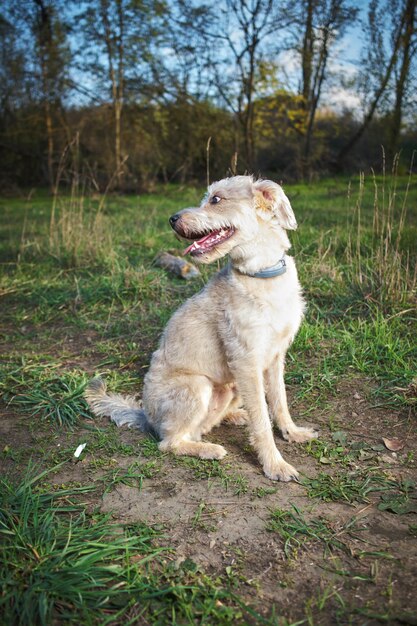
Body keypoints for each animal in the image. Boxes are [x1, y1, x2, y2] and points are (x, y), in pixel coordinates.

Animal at [86, 174, 316, 478]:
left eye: (216, 199)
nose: (172, 219)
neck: (262, 275)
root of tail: (146, 417)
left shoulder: (275, 357)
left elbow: (279, 402)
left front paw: (292, 432)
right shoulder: (247, 361)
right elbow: (262, 421)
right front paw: (274, 464)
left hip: (231, 385)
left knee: (204, 425)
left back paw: (234, 416)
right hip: (198, 385)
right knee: (170, 442)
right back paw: (207, 449)